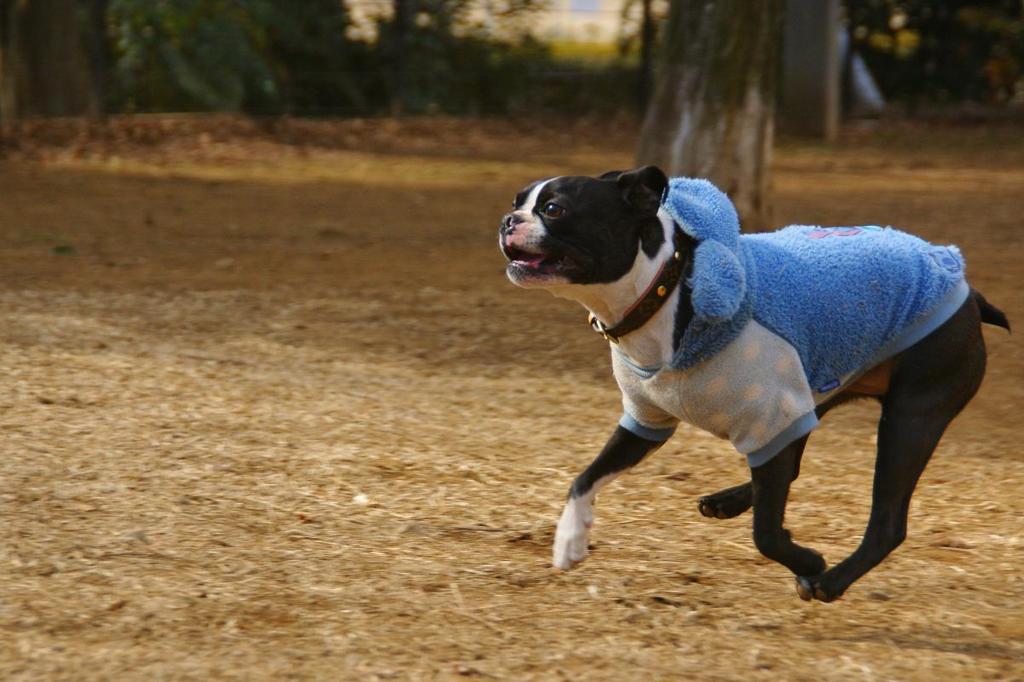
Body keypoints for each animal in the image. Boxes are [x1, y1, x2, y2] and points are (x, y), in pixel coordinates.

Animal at [495, 164, 1007, 602]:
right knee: (794, 470)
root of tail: (967, 289)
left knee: (887, 521)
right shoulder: (647, 422)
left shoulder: (770, 418)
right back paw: (728, 502)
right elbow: (584, 477)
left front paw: (809, 560)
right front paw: (569, 541)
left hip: (911, 417)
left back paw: (829, 582)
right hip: (817, 393)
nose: (507, 220)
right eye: (518, 201)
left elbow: (765, 534)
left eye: (554, 209)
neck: (667, 286)